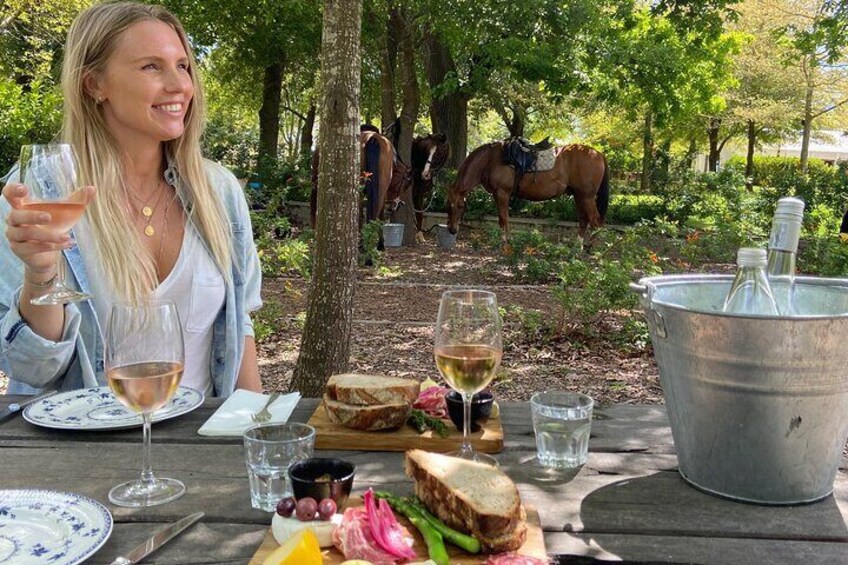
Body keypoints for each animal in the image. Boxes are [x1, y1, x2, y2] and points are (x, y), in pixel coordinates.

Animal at [444, 140, 608, 245]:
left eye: (460, 206)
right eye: (447, 207)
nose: (452, 230)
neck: (491, 160)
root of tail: (598, 154)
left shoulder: (502, 193)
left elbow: (503, 218)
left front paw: (505, 241)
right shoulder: (498, 195)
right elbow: (503, 218)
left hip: (586, 197)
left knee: (595, 222)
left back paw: (592, 252)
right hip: (578, 196)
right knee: (584, 220)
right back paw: (577, 248)